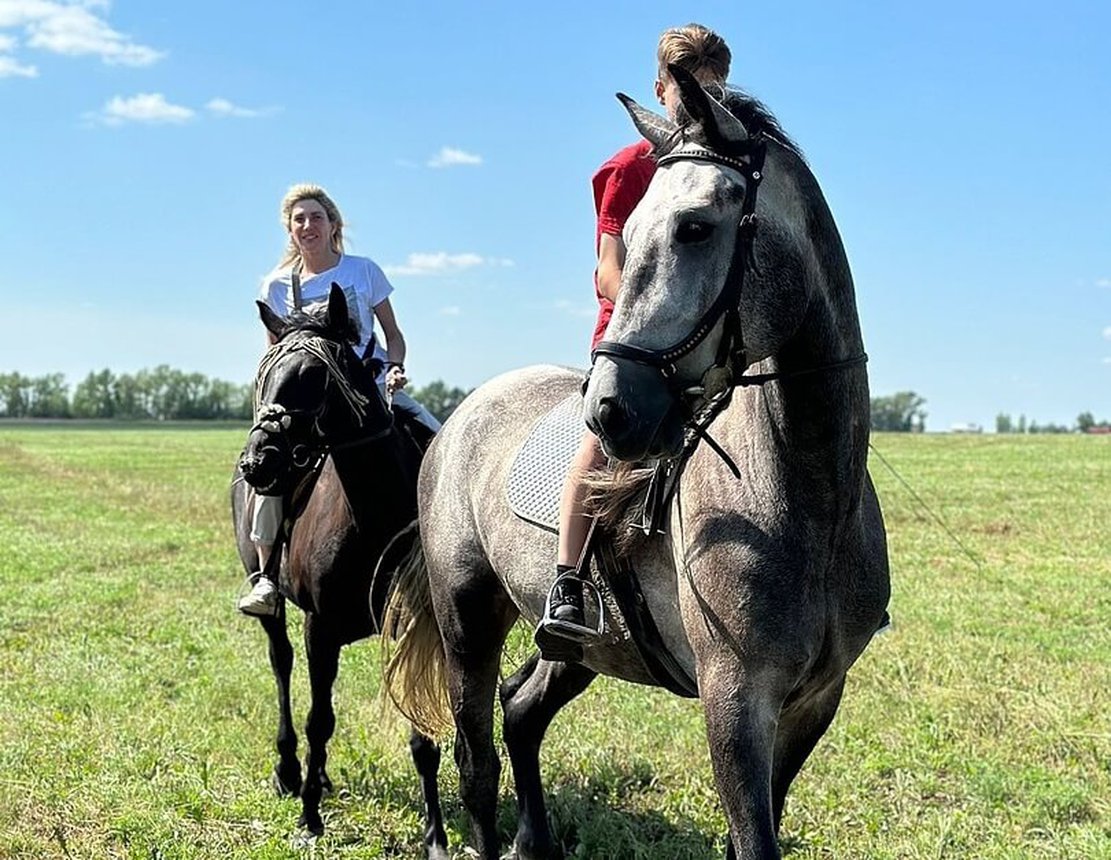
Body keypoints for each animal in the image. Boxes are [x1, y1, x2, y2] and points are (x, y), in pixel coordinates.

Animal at [231, 284, 446, 853]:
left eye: (313, 374)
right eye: (264, 374)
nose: (256, 462)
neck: (375, 512)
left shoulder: (413, 625)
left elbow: (420, 731)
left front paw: (436, 834)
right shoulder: (320, 628)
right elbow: (318, 720)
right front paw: (309, 818)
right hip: (274, 605)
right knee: (282, 668)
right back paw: (290, 771)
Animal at [386, 69, 888, 860]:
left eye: (695, 227)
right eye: (634, 227)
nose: (611, 409)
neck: (810, 501)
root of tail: (457, 418)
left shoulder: (813, 701)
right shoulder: (734, 700)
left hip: (577, 648)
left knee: (521, 711)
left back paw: (536, 843)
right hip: (467, 617)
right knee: (475, 761)